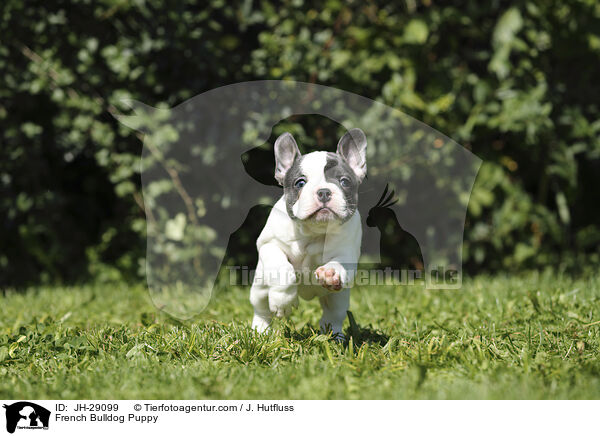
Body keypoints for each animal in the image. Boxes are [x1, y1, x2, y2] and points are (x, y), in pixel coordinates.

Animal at [248, 127, 366, 336]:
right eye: (300, 183)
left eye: (344, 181)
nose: (324, 191)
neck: (313, 231)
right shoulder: (269, 244)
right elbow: (282, 268)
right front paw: (283, 301)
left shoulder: (347, 252)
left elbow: (340, 263)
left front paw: (331, 272)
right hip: (260, 287)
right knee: (261, 309)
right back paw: (260, 331)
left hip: (338, 298)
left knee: (333, 315)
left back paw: (334, 335)